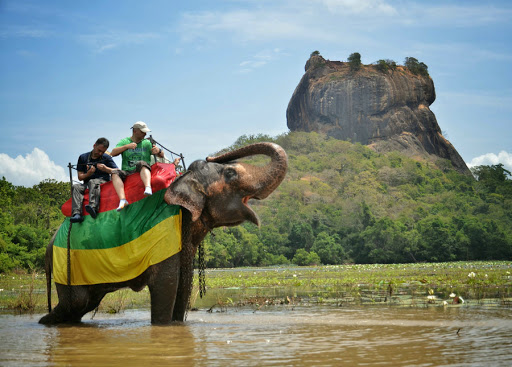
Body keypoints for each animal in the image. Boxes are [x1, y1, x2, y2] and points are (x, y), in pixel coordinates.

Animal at [39, 142, 288, 326]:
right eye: (230, 173)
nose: (208, 157)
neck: (180, 181)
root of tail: (50, 244)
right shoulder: (163, 236)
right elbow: (166, 285)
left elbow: (183, 286)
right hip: (67, 263)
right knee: (76, 302)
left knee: (84, 303)